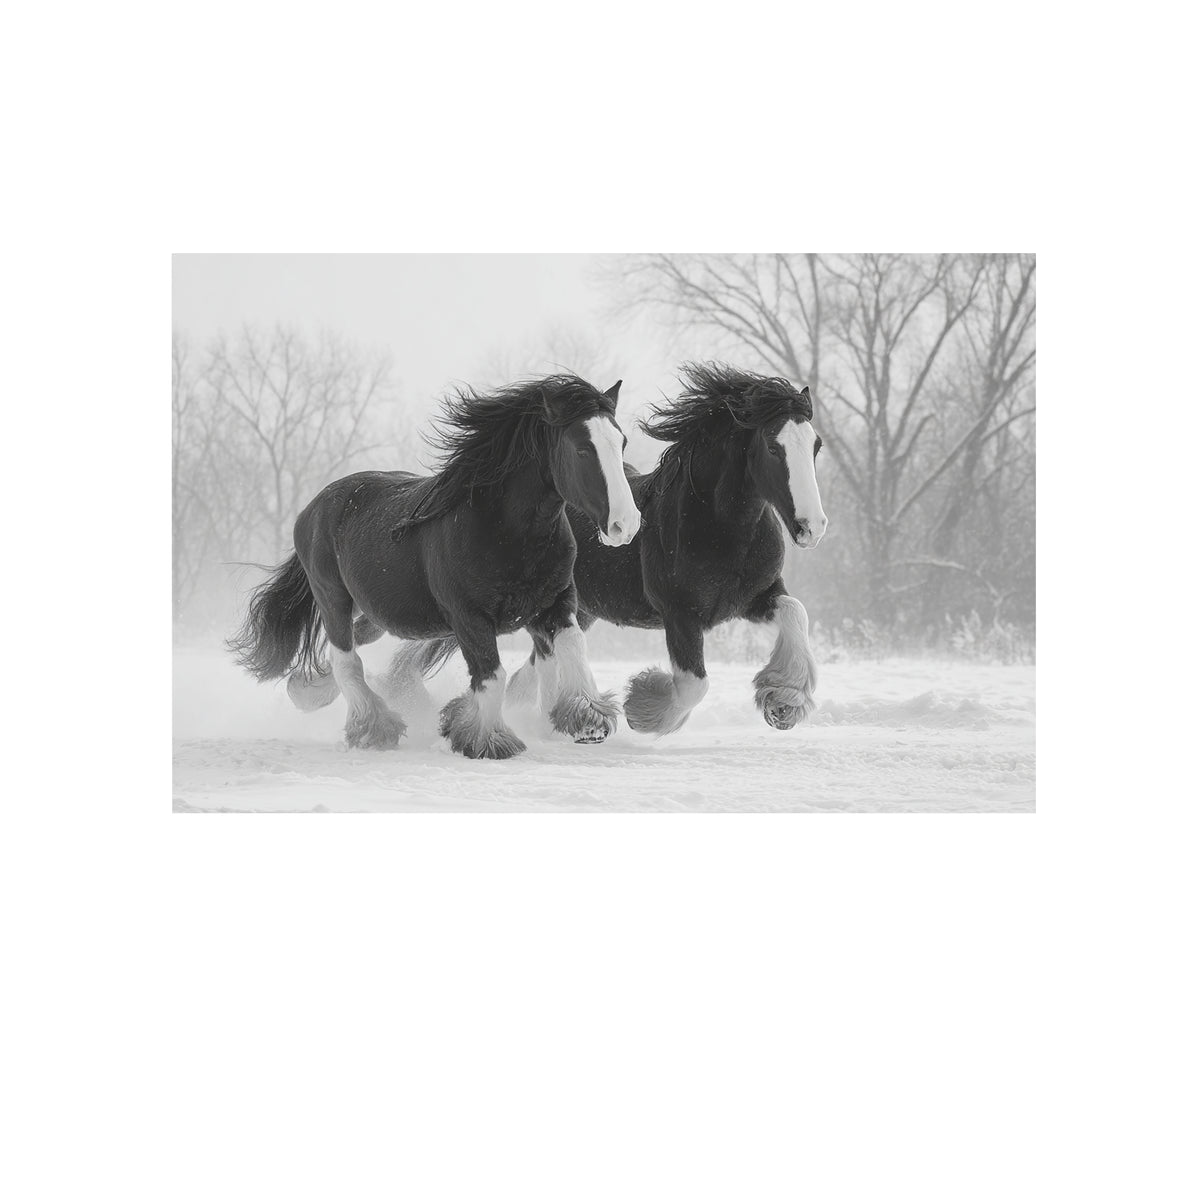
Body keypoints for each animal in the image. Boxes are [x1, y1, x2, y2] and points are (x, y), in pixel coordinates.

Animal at [227, 374, 641, 759]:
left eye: (621, 442)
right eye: (582, 448)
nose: (626, 524)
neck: (509, 533)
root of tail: (313, 507)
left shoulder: (555, 603)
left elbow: (573, 647)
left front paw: (587, 719)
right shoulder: (469, 617)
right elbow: (492, 676)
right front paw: (487, 739)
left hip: (376, 616)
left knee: (349, 647)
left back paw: (306, 691)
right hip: (332, 597)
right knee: (346, 659)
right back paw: (374, 728)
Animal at [386, 363, 826, 737]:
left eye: (816, 445)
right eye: (773, 446)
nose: (813, 526)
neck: (721, 529)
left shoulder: (756, 597)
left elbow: (797, 612)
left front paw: (783, 704)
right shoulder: (680, 615)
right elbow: (693, 684)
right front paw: (642, 709)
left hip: (578, 612)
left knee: (532, 670)